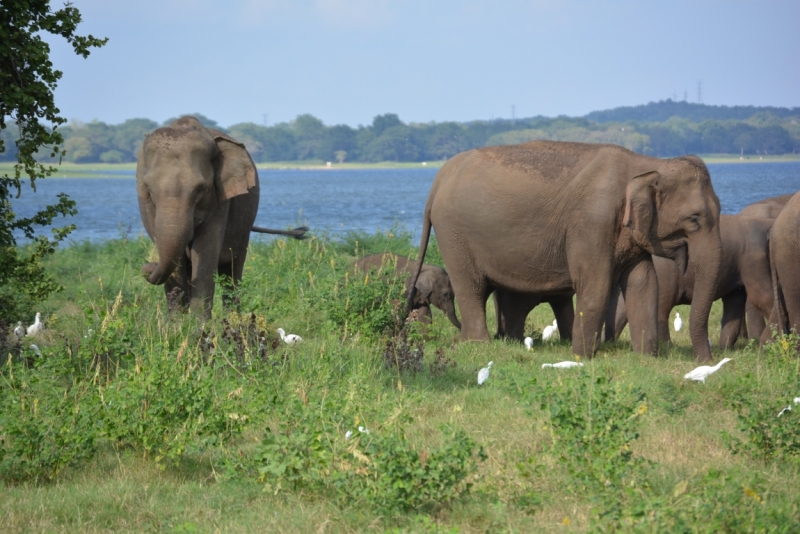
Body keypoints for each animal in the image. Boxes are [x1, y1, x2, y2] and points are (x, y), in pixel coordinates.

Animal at [137, 117, 306, 316]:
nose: (148, 266)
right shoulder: (146, 205)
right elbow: (176, 261)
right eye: (149, 189)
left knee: (232, 270)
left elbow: (205, 252)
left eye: (200, 189)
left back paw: (233, 318)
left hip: (243, 230)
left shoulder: (220, 200)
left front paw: (197, 324)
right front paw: (177, 323)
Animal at [410, 140, 720, 362]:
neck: (648, 164)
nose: (704, 361)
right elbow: (595, 287)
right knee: (471, 288)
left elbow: (644, 285)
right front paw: (581, 357)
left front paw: (646, 359)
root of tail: (438, 180)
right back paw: (479, 345)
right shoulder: (592, 223)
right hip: (454, 234)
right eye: (694, 218)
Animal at [608, 216, 776, 350]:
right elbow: (762, 297)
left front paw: (725, 350)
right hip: (666, 276)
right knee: (662, 307)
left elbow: (734, 302)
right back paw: (668, 346)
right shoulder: (754, 259)